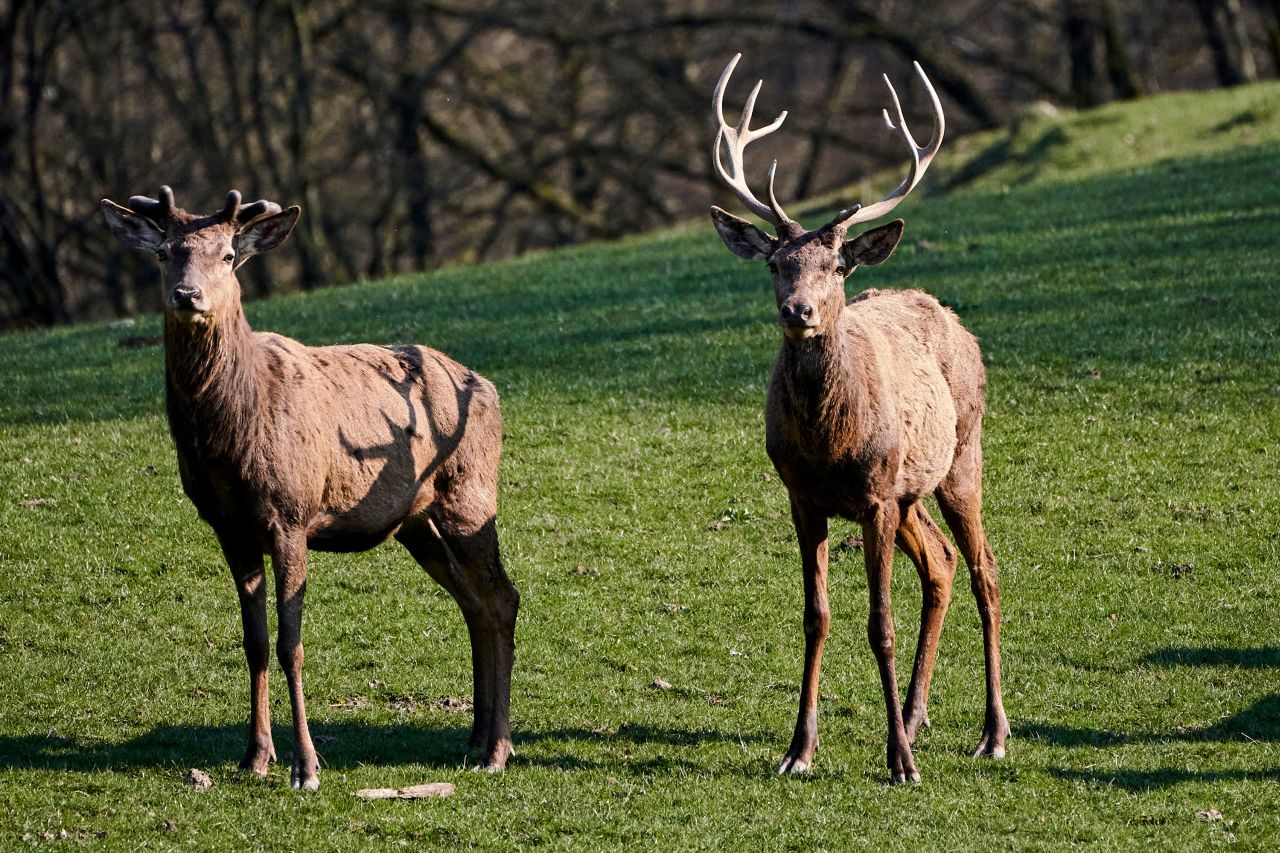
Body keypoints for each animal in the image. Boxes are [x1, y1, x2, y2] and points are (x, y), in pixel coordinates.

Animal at [98, 184, 519, 783]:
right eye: (163, 253)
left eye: (229, 254)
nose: (187, 294)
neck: (230, 442)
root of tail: (487, 387)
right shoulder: (228, 526)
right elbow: (253, 640)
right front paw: (255, 756)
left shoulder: (291, 514)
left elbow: (290, 643)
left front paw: (306, 766)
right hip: (417, 522)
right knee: (474, 602)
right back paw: (475, 737)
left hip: (471, 493)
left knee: (503, 597)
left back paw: (497, 750)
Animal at [706, 54, 1003, 783]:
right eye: (776, 265)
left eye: (836, 264)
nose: (800, 310)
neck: (828, 444)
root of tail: (949, 313)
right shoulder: (803, 496)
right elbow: (816, 616)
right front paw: (798, 750)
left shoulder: (873, 498)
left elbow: (879, 623)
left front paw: (899, 763)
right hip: (910, 490)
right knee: (942, 565)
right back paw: (917, 718)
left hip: (961, 454)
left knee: (984, 570)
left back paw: (991, 733)